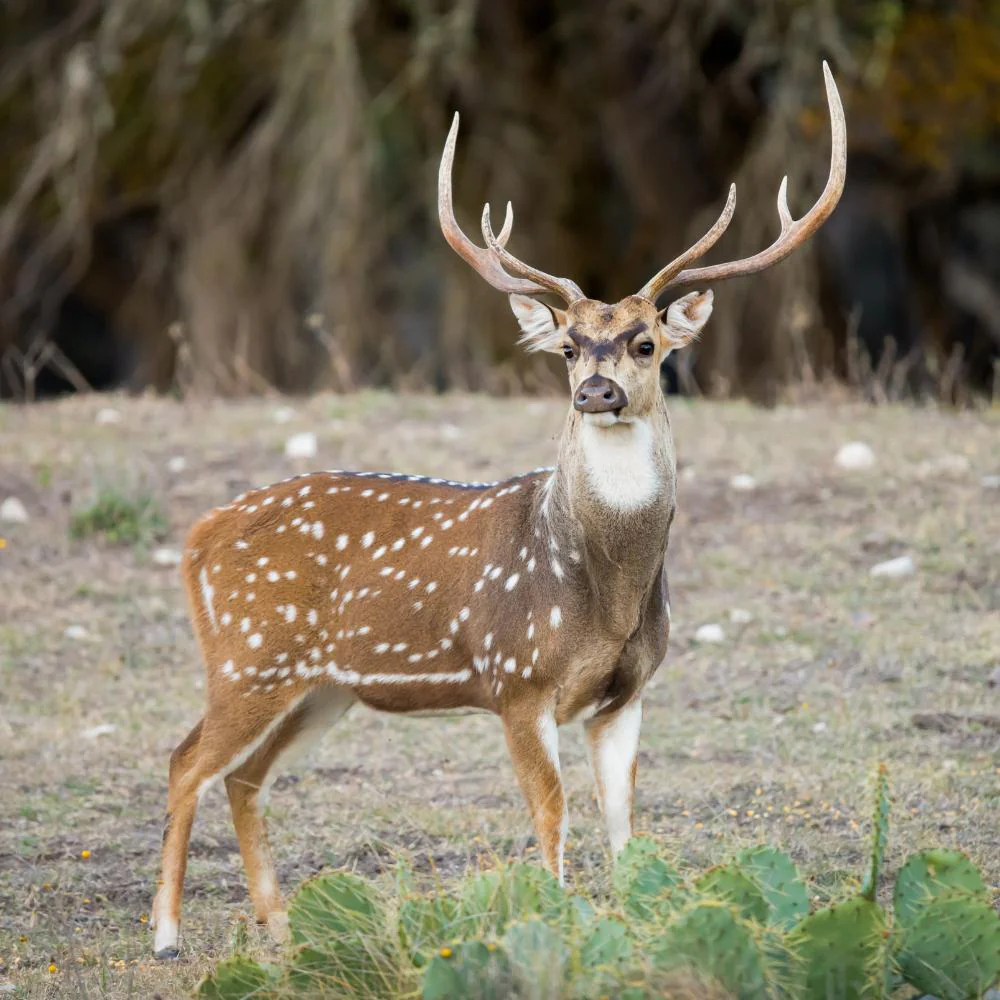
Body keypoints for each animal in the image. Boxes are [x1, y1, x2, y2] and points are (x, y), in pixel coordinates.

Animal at [151, 63, 845, 958]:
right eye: (568, 347)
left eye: (646, 343)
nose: (597, 391)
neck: (604, 591)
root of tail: (198, 536)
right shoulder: (517, 679)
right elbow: (551, 815)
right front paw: (554, 923)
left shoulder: (629, 691)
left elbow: (623, 824)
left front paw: (636, 929)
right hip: (248, 655)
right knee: (185, 760)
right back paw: (167, 935)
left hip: (322, 686)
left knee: (242, 774)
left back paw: (281, 929)